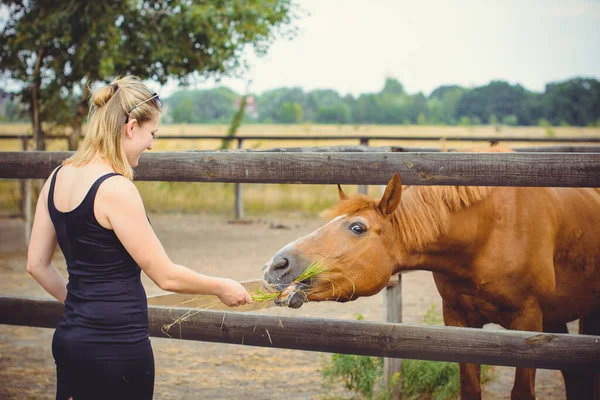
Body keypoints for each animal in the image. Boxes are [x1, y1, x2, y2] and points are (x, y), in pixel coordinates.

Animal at [262, 173, 600, 398]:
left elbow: (522, 392)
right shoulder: (459, 322)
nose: (276, 266)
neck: (490, 232)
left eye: (357, 227)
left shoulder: (527, 325)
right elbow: (470, 387)